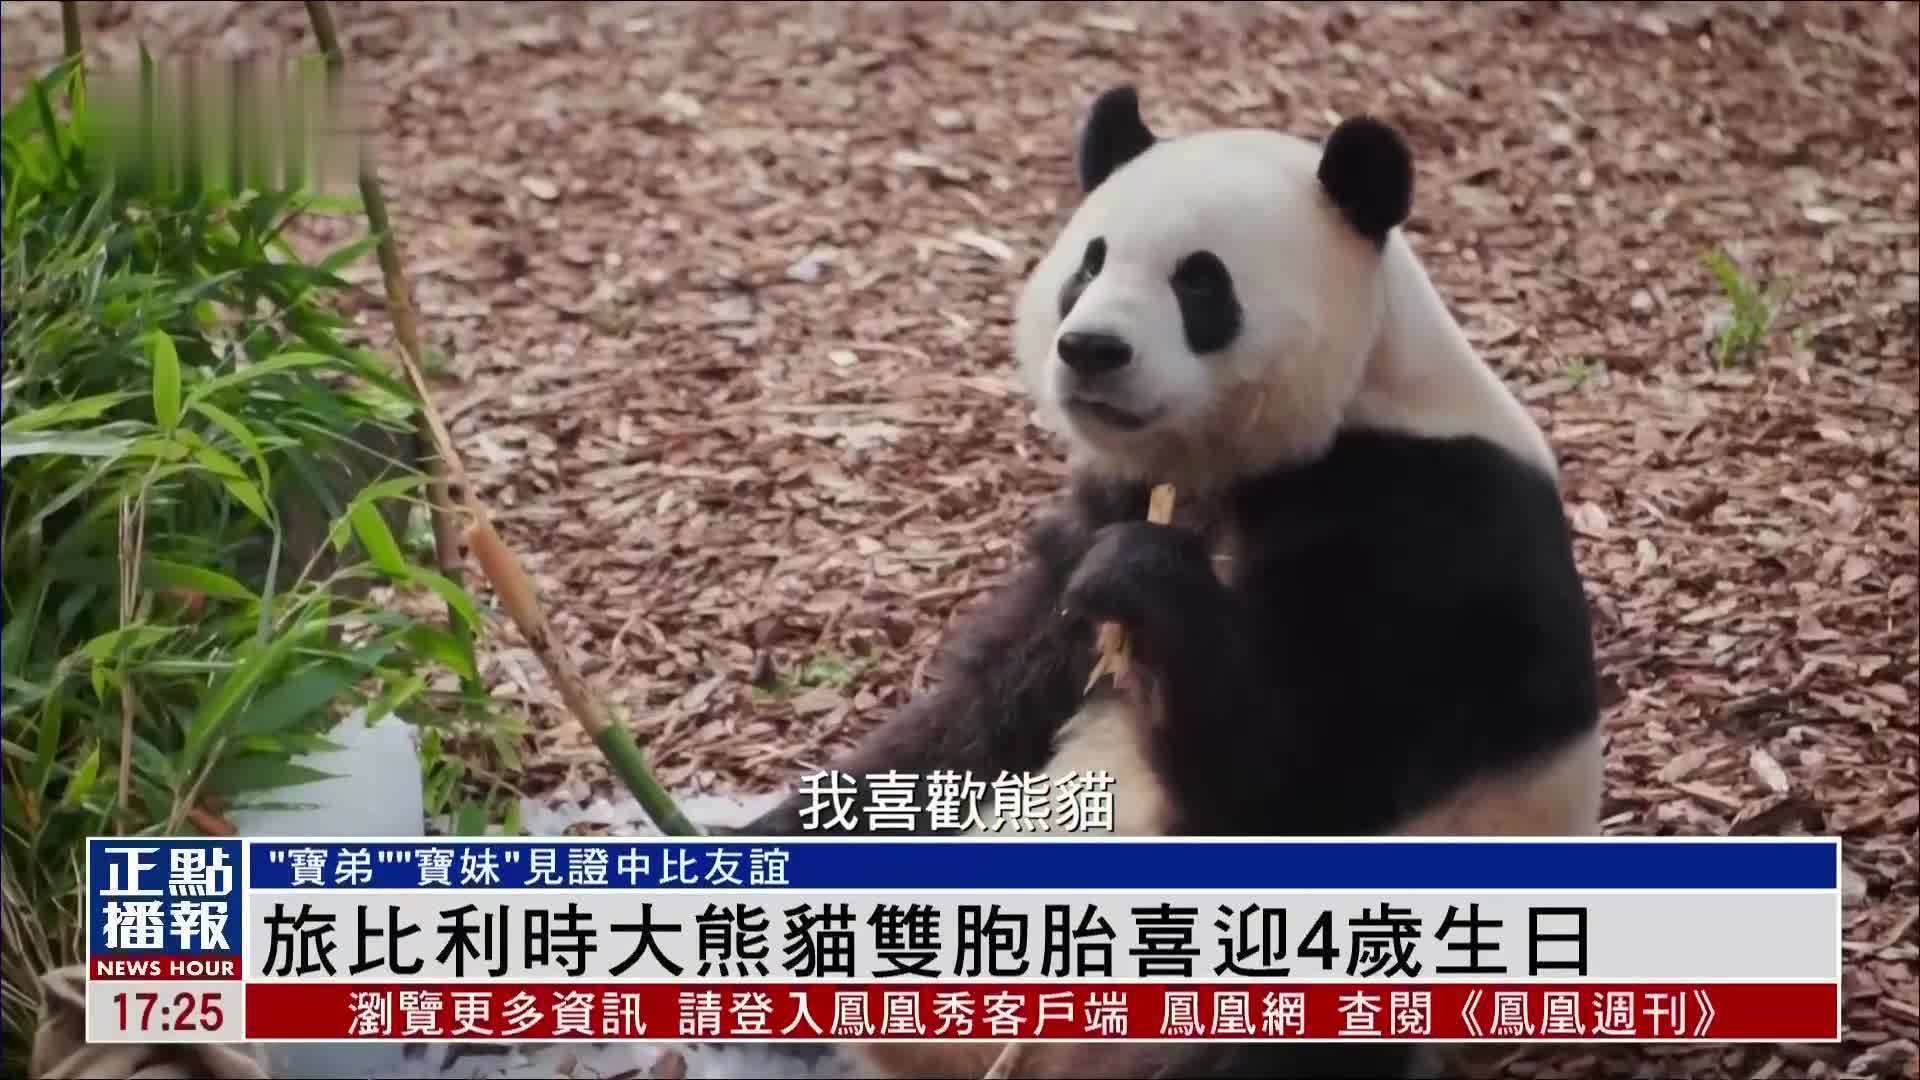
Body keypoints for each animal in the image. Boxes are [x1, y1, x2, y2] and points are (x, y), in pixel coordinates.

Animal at [733, 85, 1605, 1076]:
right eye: (1089, 262)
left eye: (1200, 281)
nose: (1090, 349)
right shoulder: (1112, 496)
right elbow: (985, 710)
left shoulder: (1431, 530)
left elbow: (1302, 781)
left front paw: (1142, 578)